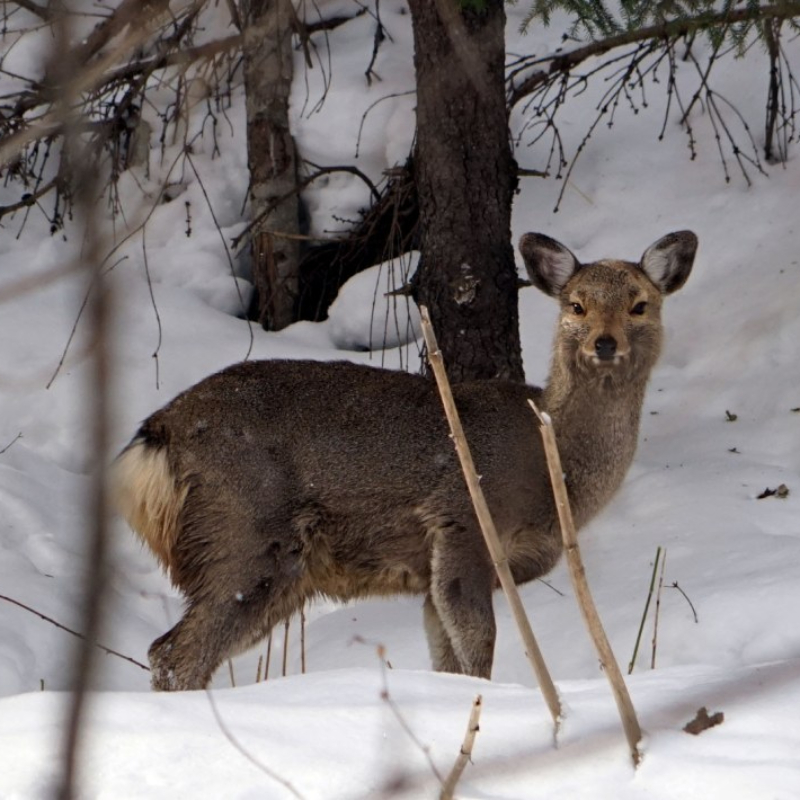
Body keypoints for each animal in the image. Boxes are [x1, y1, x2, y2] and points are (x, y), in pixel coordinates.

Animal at [111, 230, 692, 688]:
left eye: (640, 304)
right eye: (576, 305)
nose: (605, 343)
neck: (554, 467)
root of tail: (156, 435)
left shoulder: (443, 571)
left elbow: (448, 657)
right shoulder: (464, 521)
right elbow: (478, 649)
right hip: (244, 531)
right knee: (174, 654)